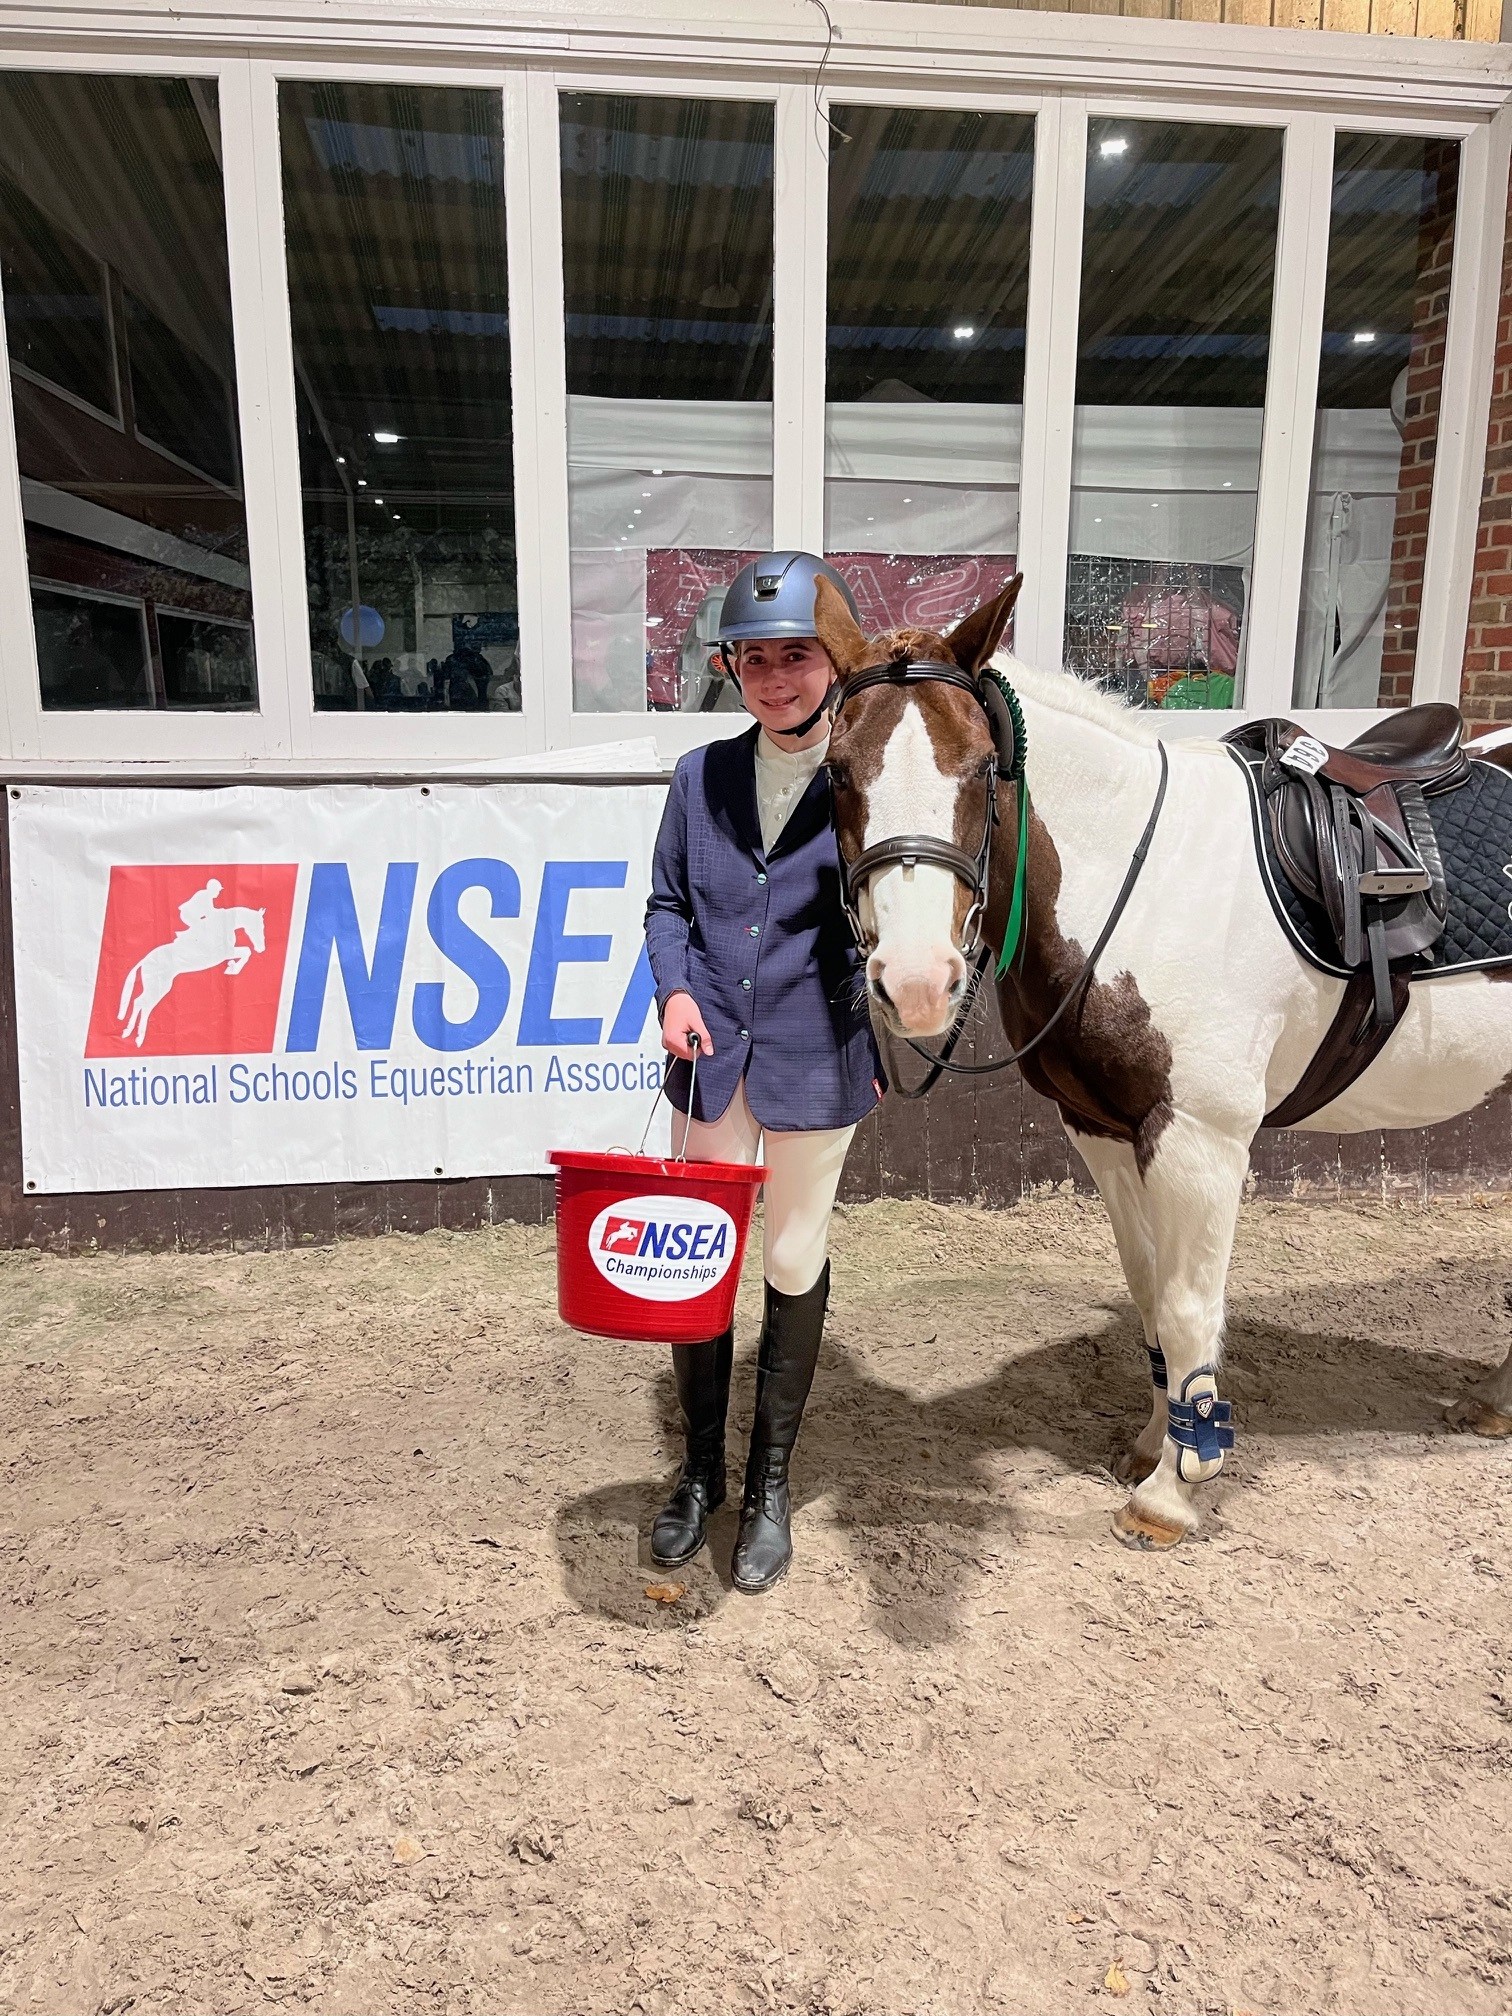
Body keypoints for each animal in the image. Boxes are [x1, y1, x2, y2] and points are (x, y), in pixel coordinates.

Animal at [116, 899, 268, 1056]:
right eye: (259, 926)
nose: (261, 949)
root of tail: (144, 960)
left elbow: (244, 952)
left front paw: (231, 967)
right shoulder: (223, 954)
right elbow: (246, 951)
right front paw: (233, 969)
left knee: (138, 1002)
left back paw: (128, 1032)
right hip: (160, 985)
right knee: (144, 1004)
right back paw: (139, 1038)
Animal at [818, 576, 1512, 1548]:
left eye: (982, 769)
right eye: (838, 772)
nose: (917, 983)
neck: (1139, 878)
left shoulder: (1199, 1140)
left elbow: (1189, 1307)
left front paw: (1176, 1489)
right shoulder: (1105, 1130)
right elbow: (1149, 1288)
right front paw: (1155, 1444)